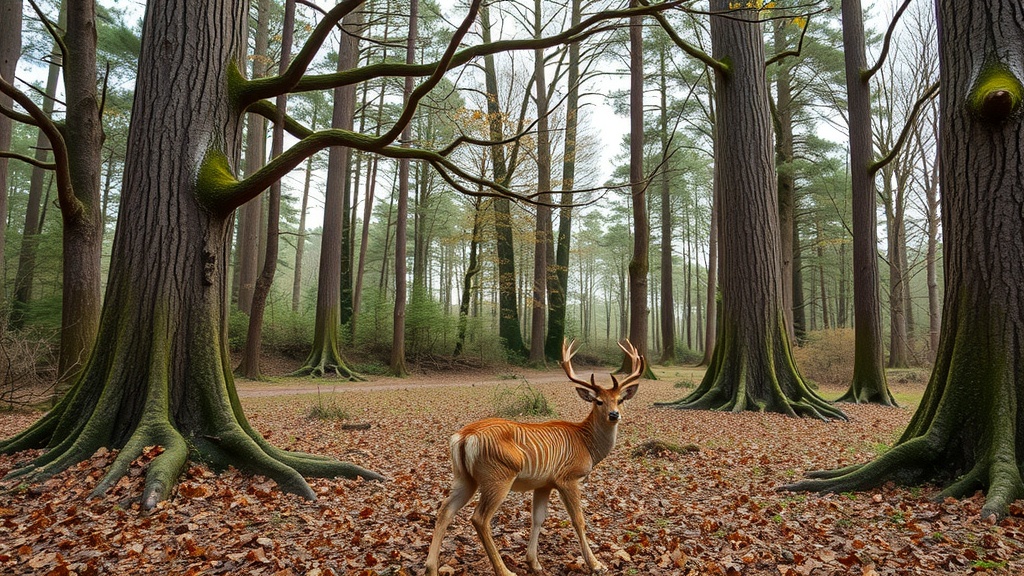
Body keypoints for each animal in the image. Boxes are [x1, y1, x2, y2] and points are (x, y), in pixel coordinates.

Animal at [428, 336, 643, 573]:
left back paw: (431, 568)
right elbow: (578, 519)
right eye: (599, 401)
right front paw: (595, 564)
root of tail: (464, 436)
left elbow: (538, 518)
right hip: (498, 475)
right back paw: (504, 570)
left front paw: (534, 562)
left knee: (445, 510)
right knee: (479, 518)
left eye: (620, 400)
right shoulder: (567, 477)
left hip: (464, 477)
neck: (585, 443)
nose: (614, 415)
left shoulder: (544, 483)